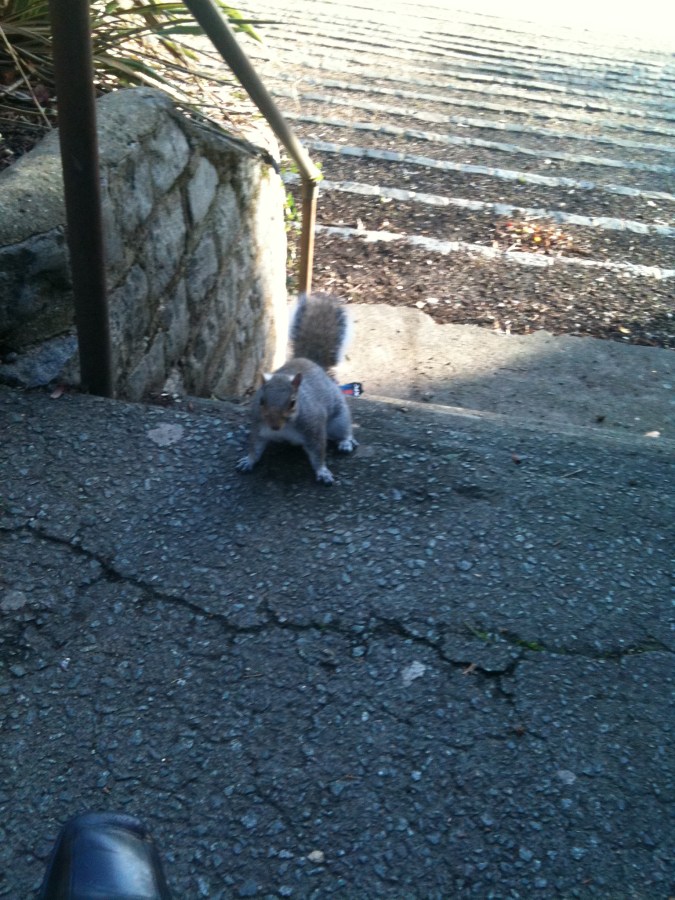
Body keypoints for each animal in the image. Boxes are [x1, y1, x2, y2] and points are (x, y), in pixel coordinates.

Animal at [236, 294, 358, 484]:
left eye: (293, 402)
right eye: (261, 401)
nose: (274, 426)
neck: (286, 428)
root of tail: (312, 362)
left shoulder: (314, 429)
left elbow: (318, 454)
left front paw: (323, 472)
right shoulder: (259, 427)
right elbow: (255, 447)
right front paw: (248, 461)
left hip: (339, 417)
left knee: (344, 429)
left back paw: (346, 442)